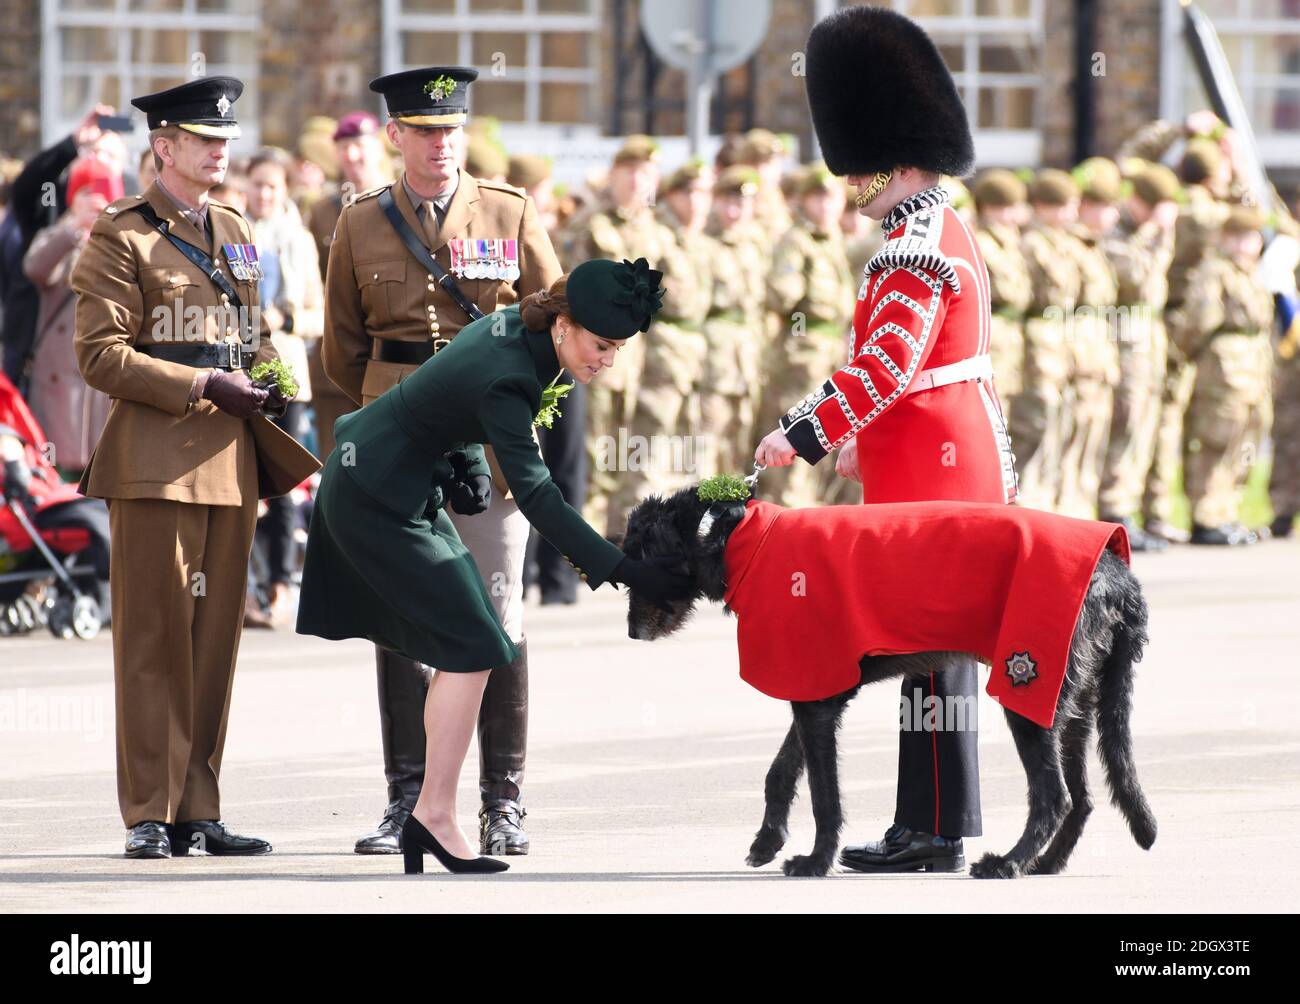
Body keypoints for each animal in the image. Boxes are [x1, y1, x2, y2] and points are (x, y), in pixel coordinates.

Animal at [618, 488, 1159, 879]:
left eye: (636, 564)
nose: (630, 632)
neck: (735, 537)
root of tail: (1120, 577)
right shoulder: (812, 686)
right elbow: (781, 773)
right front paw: (767, 842)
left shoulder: (817, 700)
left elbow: (824, 793)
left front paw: (815, 862)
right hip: (1075, 701)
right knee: (1082, 797)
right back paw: (1043, 864)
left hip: (1028, 686)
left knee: (1053, 795)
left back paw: (1007, 863)